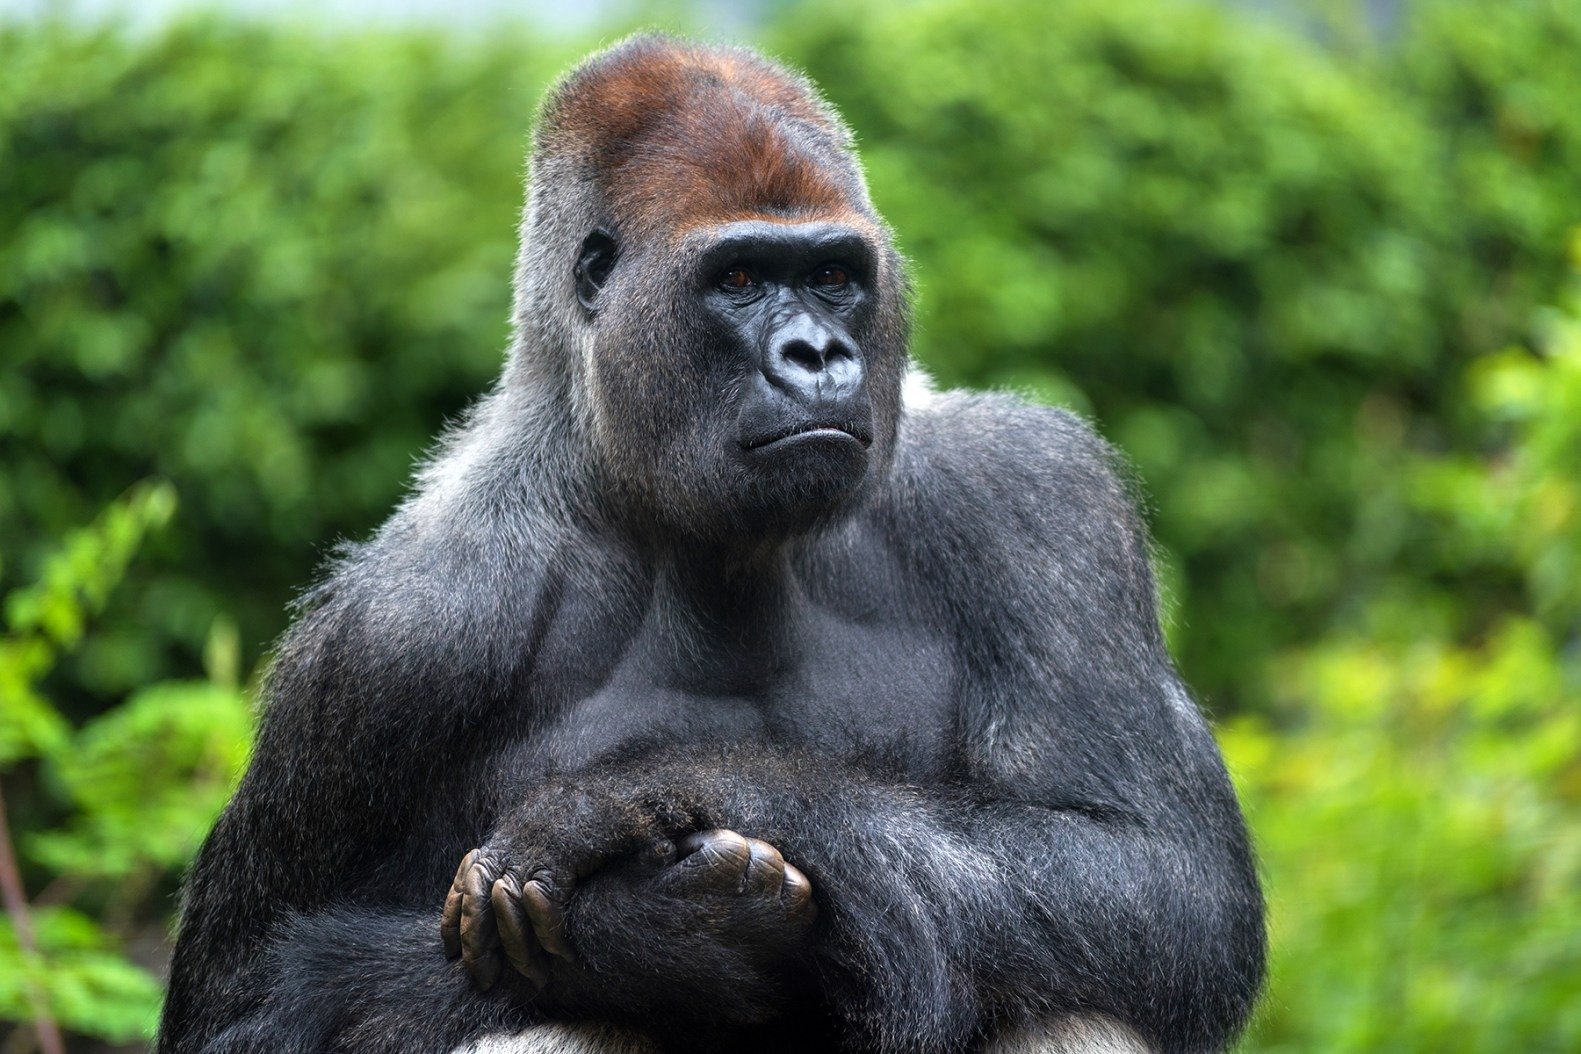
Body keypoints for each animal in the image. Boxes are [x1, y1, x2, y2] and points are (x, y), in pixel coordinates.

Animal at [158, 34, 1264, 1054]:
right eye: (737, 278)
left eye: (833, 275)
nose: (817, 355)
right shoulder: (395, 634)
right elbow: (250, 997)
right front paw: (657, 937)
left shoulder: (1037, 497)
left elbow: (1157, 873)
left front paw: (632, 800)